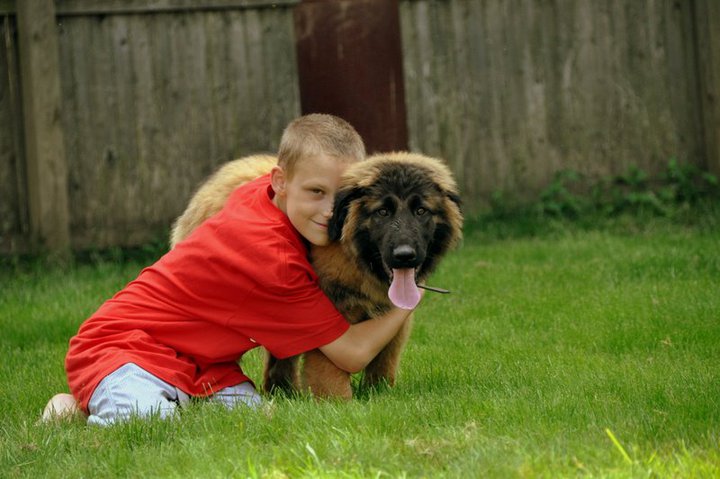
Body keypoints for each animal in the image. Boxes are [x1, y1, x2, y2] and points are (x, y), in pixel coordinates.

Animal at [169, 152, 464, 400]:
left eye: (421, 211)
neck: (356, 258)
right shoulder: (333, 318)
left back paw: (285, 394)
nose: (405, 255)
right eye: (382, 212)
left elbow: (383, 365)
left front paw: (378, 396)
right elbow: (332, 376)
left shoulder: (394, 320)